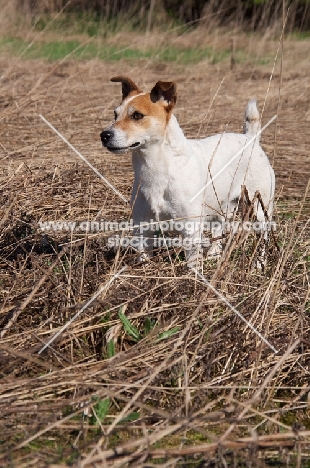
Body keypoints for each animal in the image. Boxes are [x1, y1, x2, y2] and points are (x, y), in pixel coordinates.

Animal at [100, 77, 274, 266]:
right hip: (221, 205)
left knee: (263, 235)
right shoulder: (142, 227)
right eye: (115, 114)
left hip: (259, 207)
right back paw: (213, 254)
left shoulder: (190, 229)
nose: (104, 135)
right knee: (218, 228)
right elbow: (143, 256)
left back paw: (260, 263)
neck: (157, 167)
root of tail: (251, 139)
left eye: (137, 115)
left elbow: (191, 263)